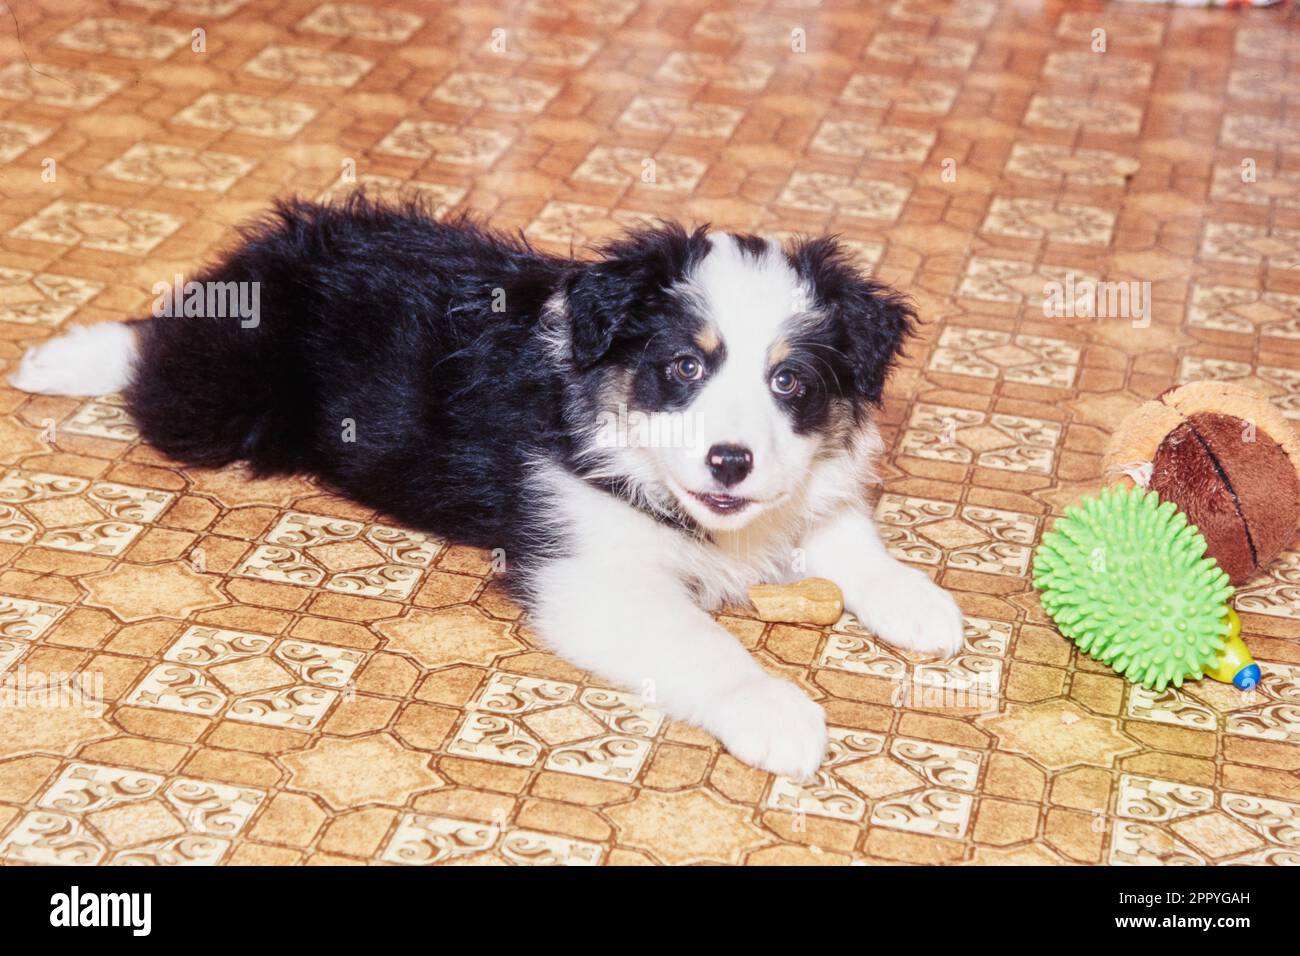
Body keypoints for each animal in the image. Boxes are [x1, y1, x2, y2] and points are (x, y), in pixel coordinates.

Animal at [10, 197, 967, 780]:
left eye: (789, 382)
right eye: (684, 368)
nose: (730, 461)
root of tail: (276, 249)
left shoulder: (794, 492)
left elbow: (843, 527)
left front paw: (919, 602)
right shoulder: (589, 573)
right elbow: (703, 645)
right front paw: (775, 711)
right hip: (225, 400)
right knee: (154, 348)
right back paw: (63, 357)